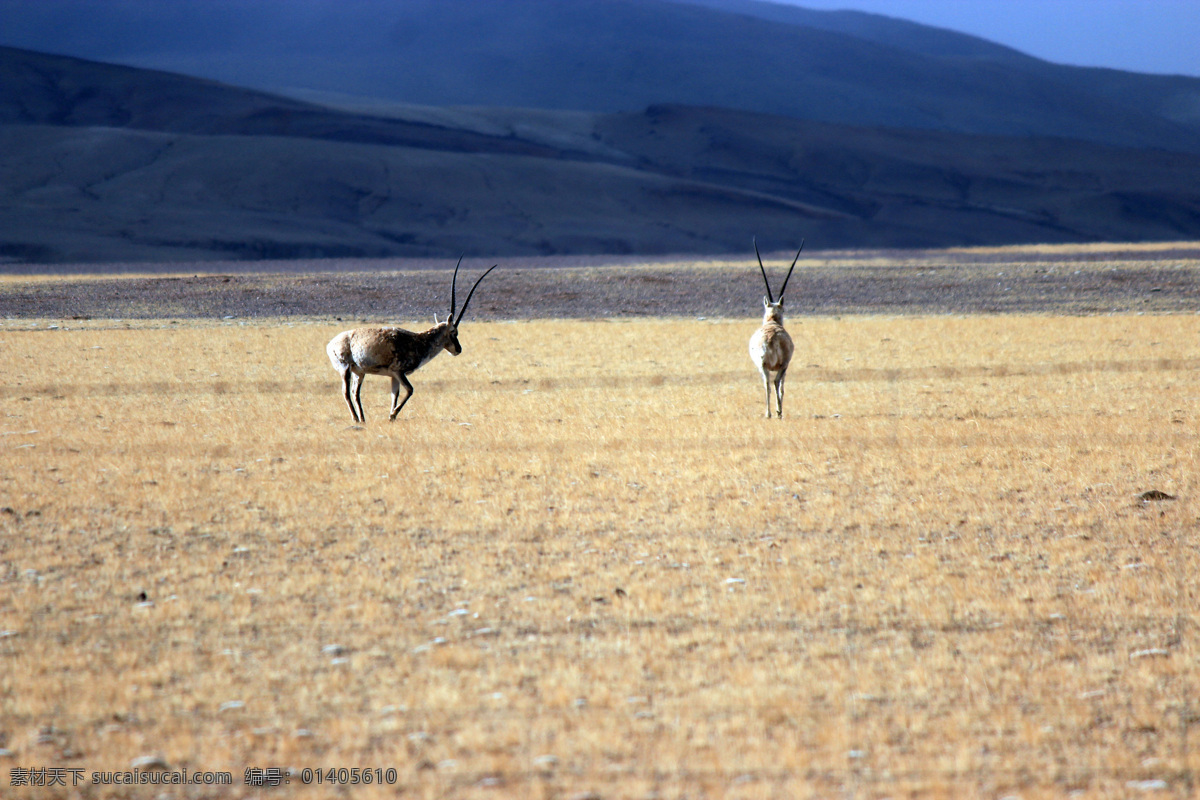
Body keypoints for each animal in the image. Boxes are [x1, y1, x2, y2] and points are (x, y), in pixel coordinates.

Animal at [324, 257, 496, 424]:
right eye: (454, 332)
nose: (458, 350)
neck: (419, 340)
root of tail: (331, 344)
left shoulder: (394, 376)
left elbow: (395, 395)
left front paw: (391, 416)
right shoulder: (399, 372)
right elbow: (410, 390)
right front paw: (393, 414)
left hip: (359, 372)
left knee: (355, 392)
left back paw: (362, 419)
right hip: (345, 368)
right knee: (346, 392)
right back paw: (355, 418)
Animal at [744, 239, 801, 419]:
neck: (772, 322)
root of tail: (772, 339)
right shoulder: (786, 365)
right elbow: (781, 386)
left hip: (763, 365)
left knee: (767, 383)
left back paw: (769, 413)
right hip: (781, 365)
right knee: (775, 382)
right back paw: (778, 412)